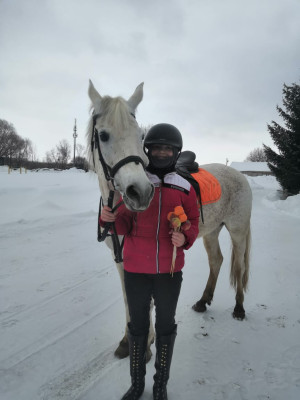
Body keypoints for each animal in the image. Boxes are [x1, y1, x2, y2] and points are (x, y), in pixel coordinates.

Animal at [86, 80, 251, 360]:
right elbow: (129, 297)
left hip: (237, 232)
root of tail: (238, 174)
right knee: (216, 260)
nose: (139, 192)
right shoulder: (121, 258)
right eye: (104, 135)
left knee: (238, 266)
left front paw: (147, 344)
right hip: (211, 232)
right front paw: (127, 341)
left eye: (140, 135)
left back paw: (239, 308)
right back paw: (203, 301)